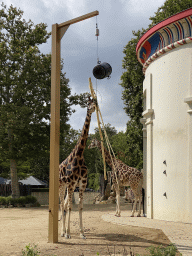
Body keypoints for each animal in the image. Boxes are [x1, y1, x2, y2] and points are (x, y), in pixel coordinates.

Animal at [59, 97, 95, 239]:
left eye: (95, 102)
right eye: (88, 103)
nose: (92, 108)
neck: (79, 155)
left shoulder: (82, 183)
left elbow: (79, 207)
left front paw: (82, 233)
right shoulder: (71, 182)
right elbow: (69, 207)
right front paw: (68, 233)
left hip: (70, 186)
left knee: (64, 204)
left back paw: (64, 231)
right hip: (62, 185)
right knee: (62, 204)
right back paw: (62, 232)